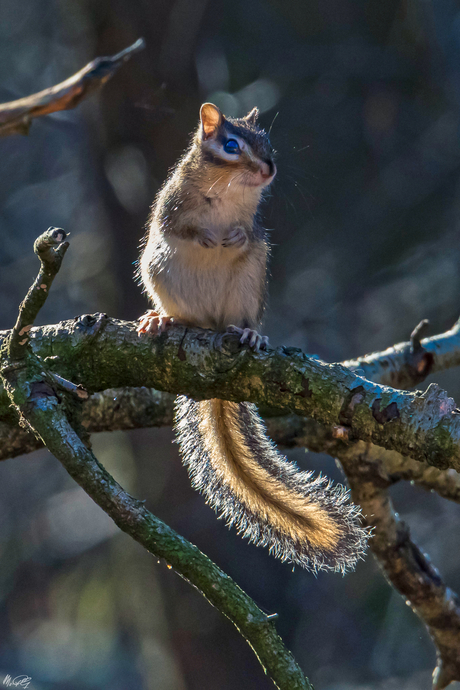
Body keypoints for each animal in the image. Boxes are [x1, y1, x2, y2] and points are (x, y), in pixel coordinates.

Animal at [138, 101, 368, 568]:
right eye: (231, 146)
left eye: (267, 142)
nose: (269, 169)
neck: (227, 191)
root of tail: (211, 325)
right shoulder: (170, 208)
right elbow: (181, 229)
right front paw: (208, 237)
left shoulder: (258, 229)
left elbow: (249, 233)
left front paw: (232, 235)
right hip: (159, 272)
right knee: (178, 313)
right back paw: (163, 320)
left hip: (249, 285)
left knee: (241, 318)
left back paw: (249, 335)